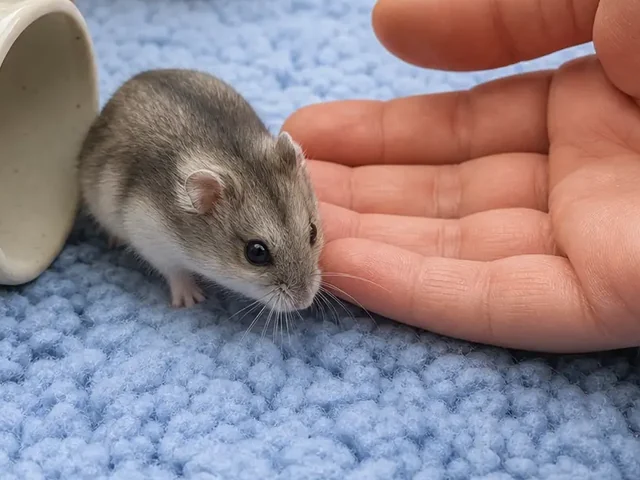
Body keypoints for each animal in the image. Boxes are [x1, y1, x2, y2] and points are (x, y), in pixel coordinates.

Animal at [77, 68, 323, 312]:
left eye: (313, 232)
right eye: (256, 253)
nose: (304, 302)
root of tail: (131, 82)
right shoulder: (149, 236)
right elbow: (175, 271)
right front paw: (191, 300)